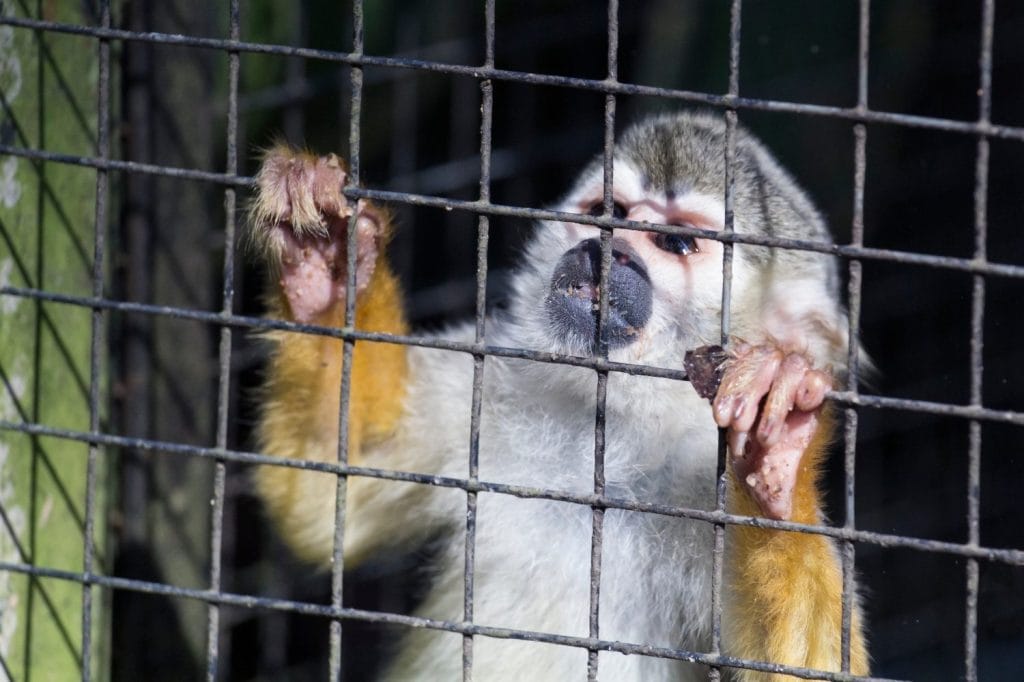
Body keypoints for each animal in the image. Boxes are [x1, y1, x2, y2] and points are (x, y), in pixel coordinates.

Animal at [247, 111, 869, 681]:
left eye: (675, 240)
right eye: (607, 214)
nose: (608, 248)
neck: (613, 427)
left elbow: (805, 670)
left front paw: (778, 450)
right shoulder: (488, 381)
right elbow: (328, 494)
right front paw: (329, 262)